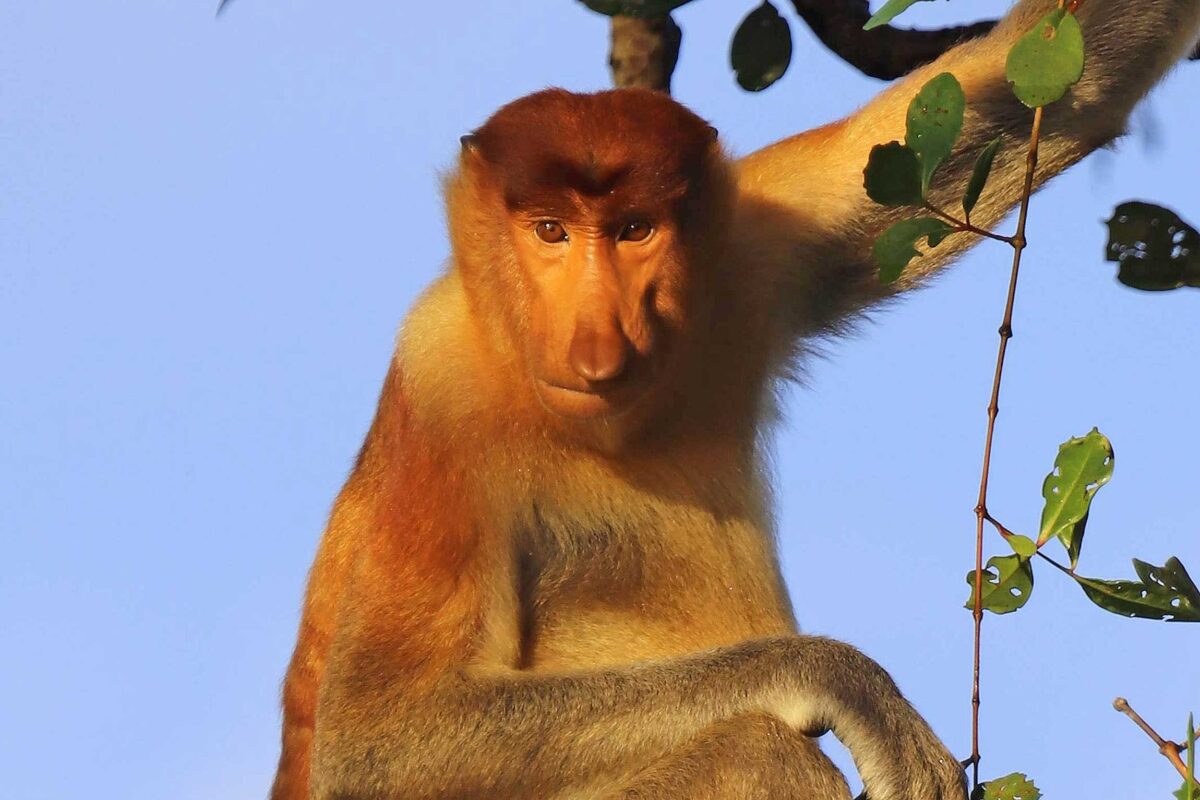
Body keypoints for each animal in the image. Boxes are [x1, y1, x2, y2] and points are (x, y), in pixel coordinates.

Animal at [270, 3, 1200, 796]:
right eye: (549, 231)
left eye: (635, 229)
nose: (595, 342)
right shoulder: (441, 387)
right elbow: (379, 742)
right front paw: (846, 684)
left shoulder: (762, 231)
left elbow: (1058, 81)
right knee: (753, 752)